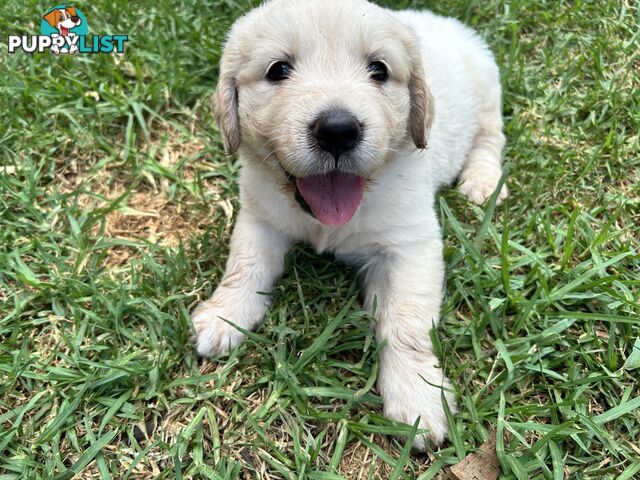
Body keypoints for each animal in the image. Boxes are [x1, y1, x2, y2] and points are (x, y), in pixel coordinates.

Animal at [192, 0, 508, 450]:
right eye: (278, 70)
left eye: (379, 69)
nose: (338, 130)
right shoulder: (260, 216)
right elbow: (244, 266)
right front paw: (224, 316)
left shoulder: (411, 246)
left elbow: (407, 323)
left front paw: (417, 397)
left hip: (486, 92)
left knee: (490, 136)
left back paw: (481, 183)